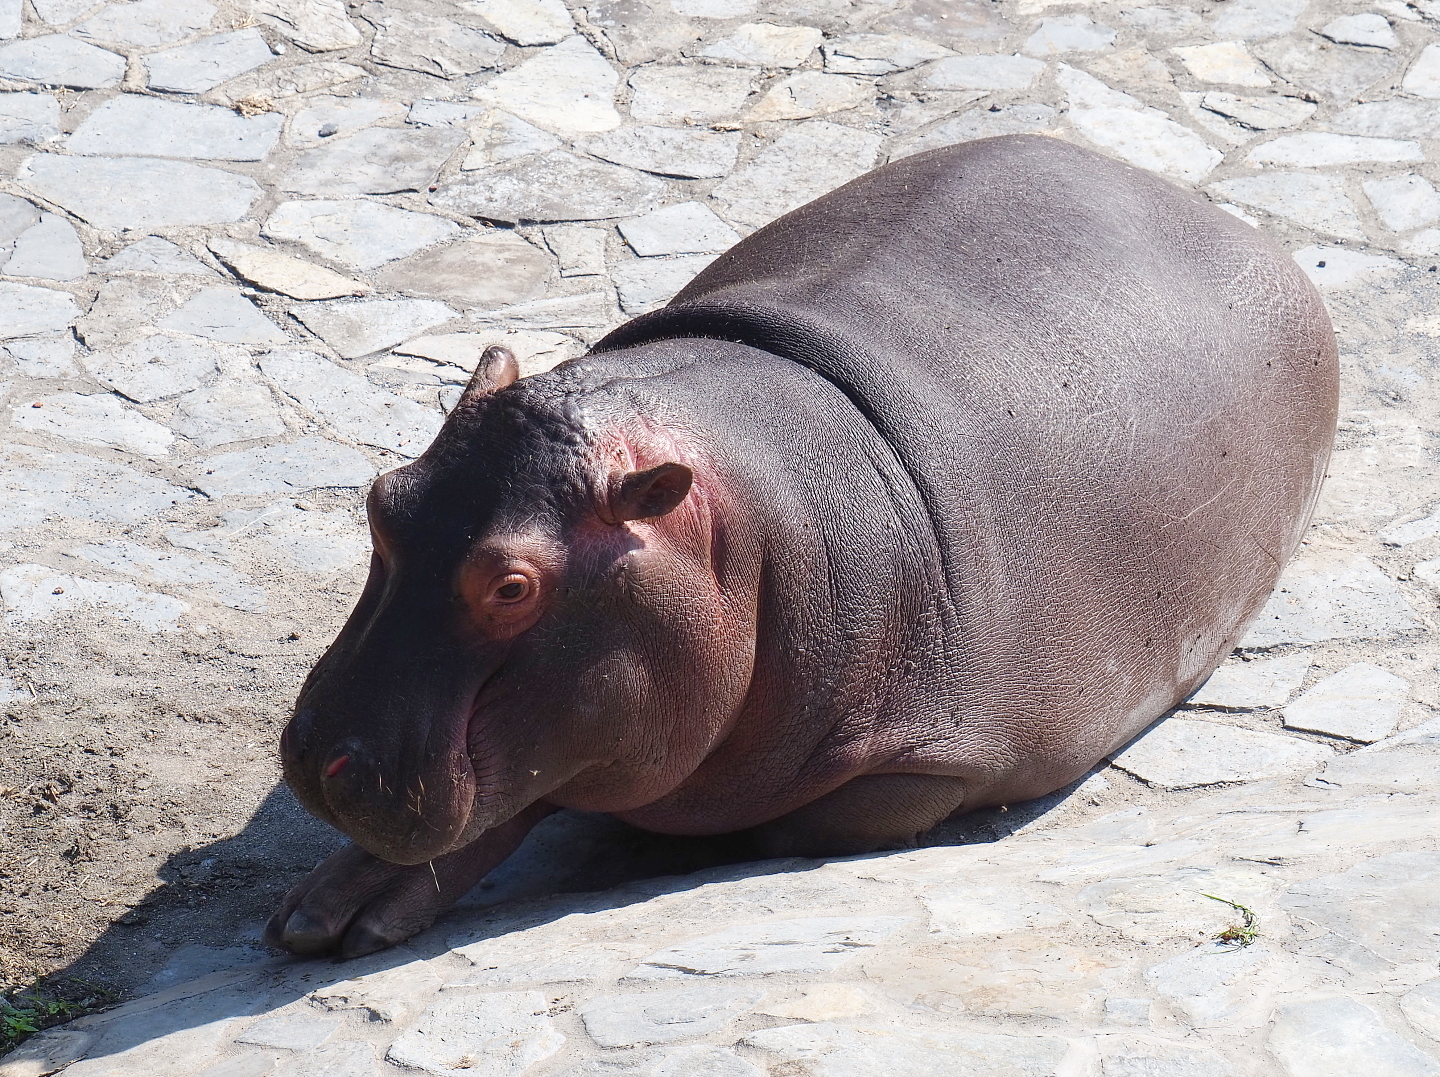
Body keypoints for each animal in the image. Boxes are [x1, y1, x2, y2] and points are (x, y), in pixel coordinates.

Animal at [265, 134, 1338, 957]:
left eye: (512, 586)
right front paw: (320, 909)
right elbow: (532, 786)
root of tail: (1220, 218)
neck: (742, 529)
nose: (324, 758)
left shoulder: (931, 765)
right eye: (382, 497)